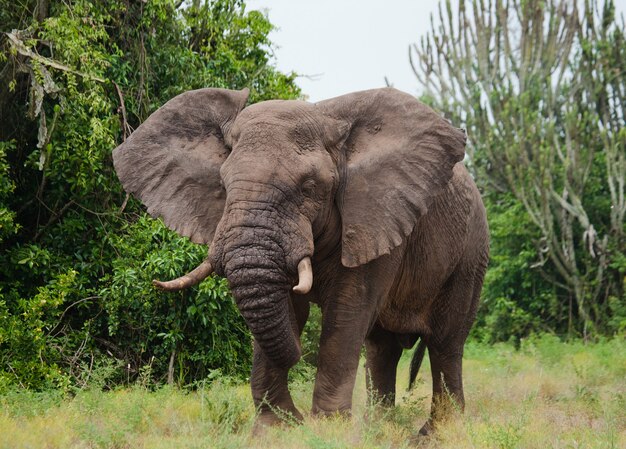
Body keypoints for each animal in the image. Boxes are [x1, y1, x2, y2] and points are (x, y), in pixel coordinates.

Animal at [114, 87, 490, 434]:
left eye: (309, 187)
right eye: (223, 183)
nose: (298, 352)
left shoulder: (373, 214)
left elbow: (346, 311)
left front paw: (327, 430)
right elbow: (289, 308)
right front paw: (276, 429)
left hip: (471, 255)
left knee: (445, 343)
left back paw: (435, 434)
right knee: (382, 349)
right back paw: (379, 430)